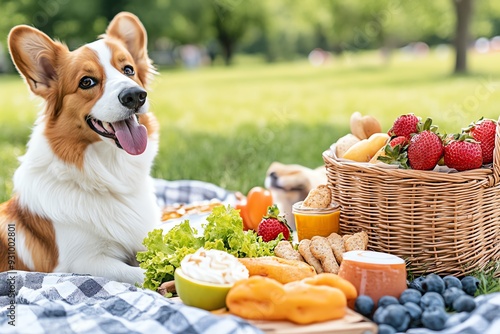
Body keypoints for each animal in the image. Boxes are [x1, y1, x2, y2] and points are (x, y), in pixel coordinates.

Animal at [0, 13, 160, 284]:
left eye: (128, 70)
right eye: (87, 82)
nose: (135, 96)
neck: (110, 177)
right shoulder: (82, 262)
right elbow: (141, 274)